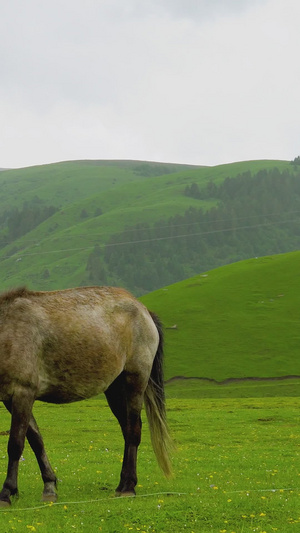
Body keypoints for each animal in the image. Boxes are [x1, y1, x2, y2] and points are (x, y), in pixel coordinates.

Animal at [0, 284, 171, 504]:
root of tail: (144, 310)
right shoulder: (10, 398)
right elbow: (36, 440)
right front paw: (49, 486)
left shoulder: (23, 393)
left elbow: (16, 444)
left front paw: (6, 492)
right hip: (115, 390)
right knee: (126, 429)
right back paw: (123, 483)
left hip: (135, 380)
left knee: (133, 430)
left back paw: (128, 487)